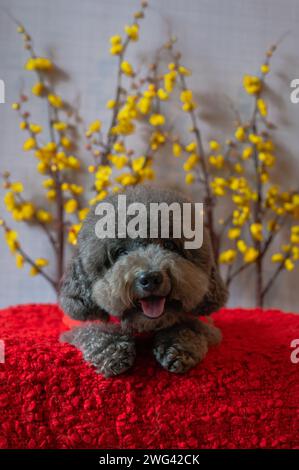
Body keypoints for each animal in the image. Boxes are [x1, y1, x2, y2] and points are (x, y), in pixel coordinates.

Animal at [59, 185, 229, 376]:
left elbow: (188, 326)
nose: (150, 278)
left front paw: (178, 347)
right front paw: (111, 350)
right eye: (120, 252)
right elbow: (94, 330)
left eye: (169, 245)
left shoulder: (206, 326)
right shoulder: (79, 324)